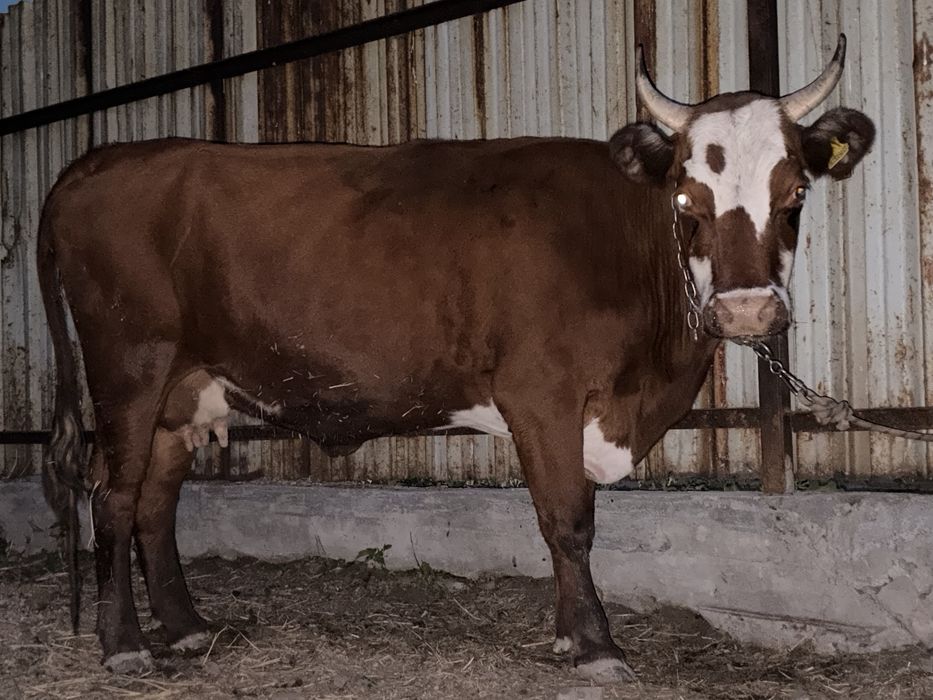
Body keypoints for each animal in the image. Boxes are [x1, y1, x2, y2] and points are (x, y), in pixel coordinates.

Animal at [38, 35, 873, 680]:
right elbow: (567, 520)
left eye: (795, 195)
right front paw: (594, 645)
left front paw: (568, 635)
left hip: (182, 389)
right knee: (112, 498)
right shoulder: (540, 392)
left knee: (154, 503)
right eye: (685, 201)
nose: (747, 311)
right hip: (129, 368)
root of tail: (99, 162)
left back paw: (185, 628)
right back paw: (123, 646)